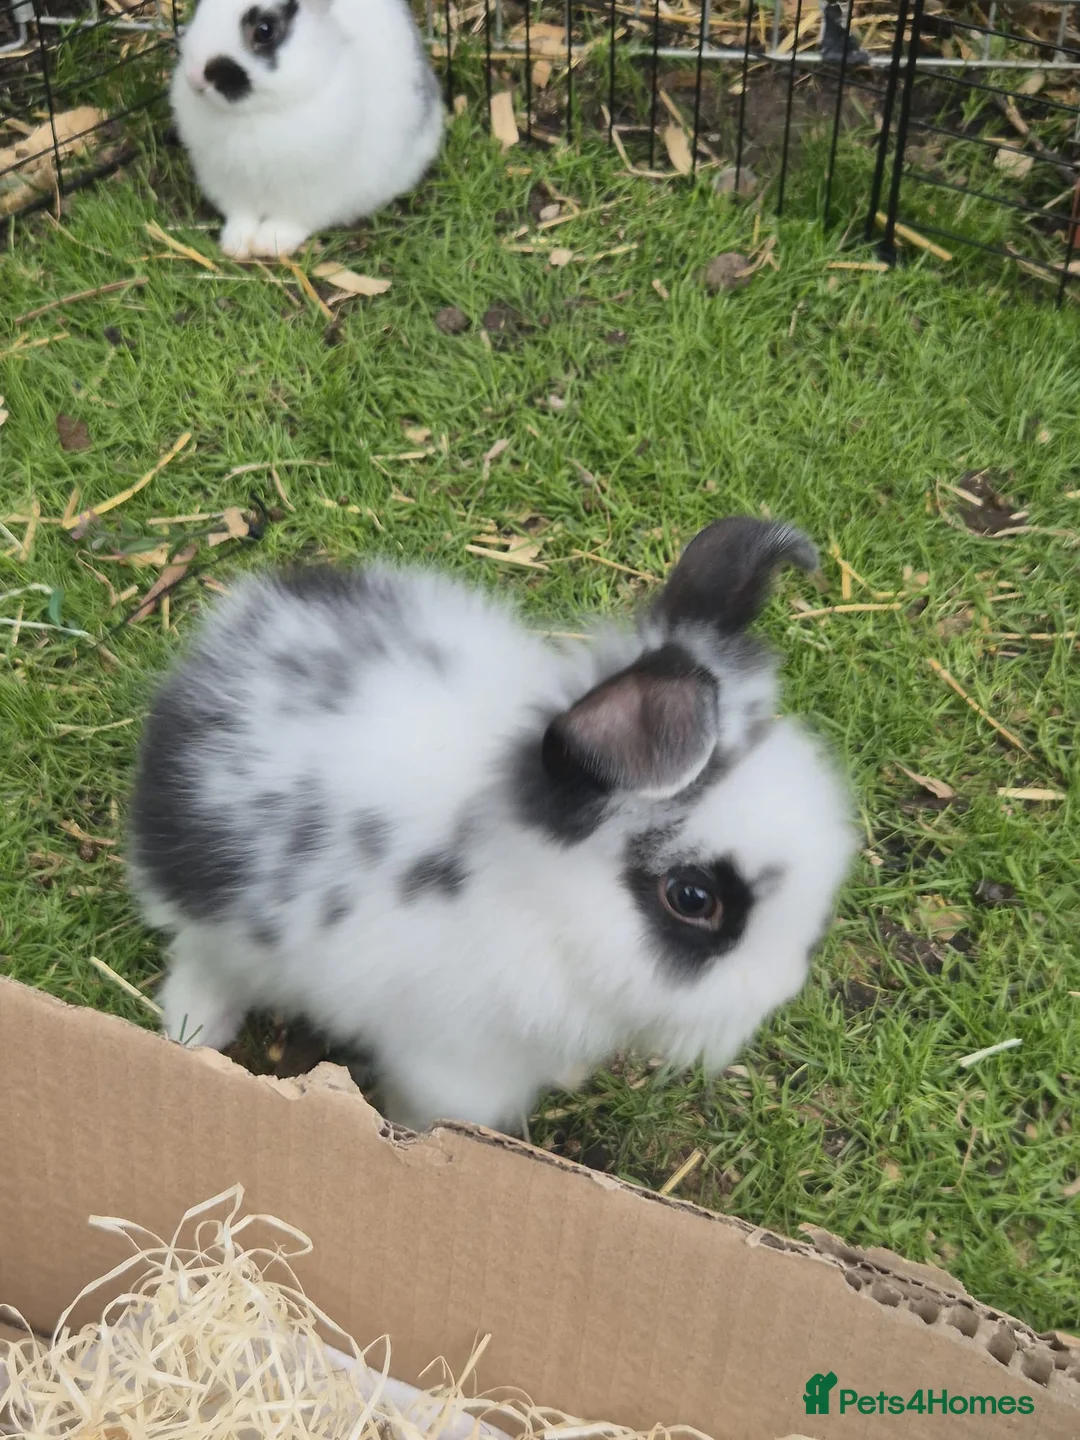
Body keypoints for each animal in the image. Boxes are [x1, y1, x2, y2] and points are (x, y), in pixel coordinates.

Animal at [128, 517, 856, 1133]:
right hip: (224, 929)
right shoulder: (455, 1066)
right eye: (693, 898)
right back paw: (194, 1037)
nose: (785, 986)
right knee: (199, 967)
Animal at [169, 0, 444, 259]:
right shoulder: (231, 184)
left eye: (265, 30)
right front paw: (236, 245)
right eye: (200, 8)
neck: (255, 114)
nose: (195, 78)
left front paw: (269, 243)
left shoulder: (313, 194)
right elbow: (241, 215)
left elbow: (292, 220)